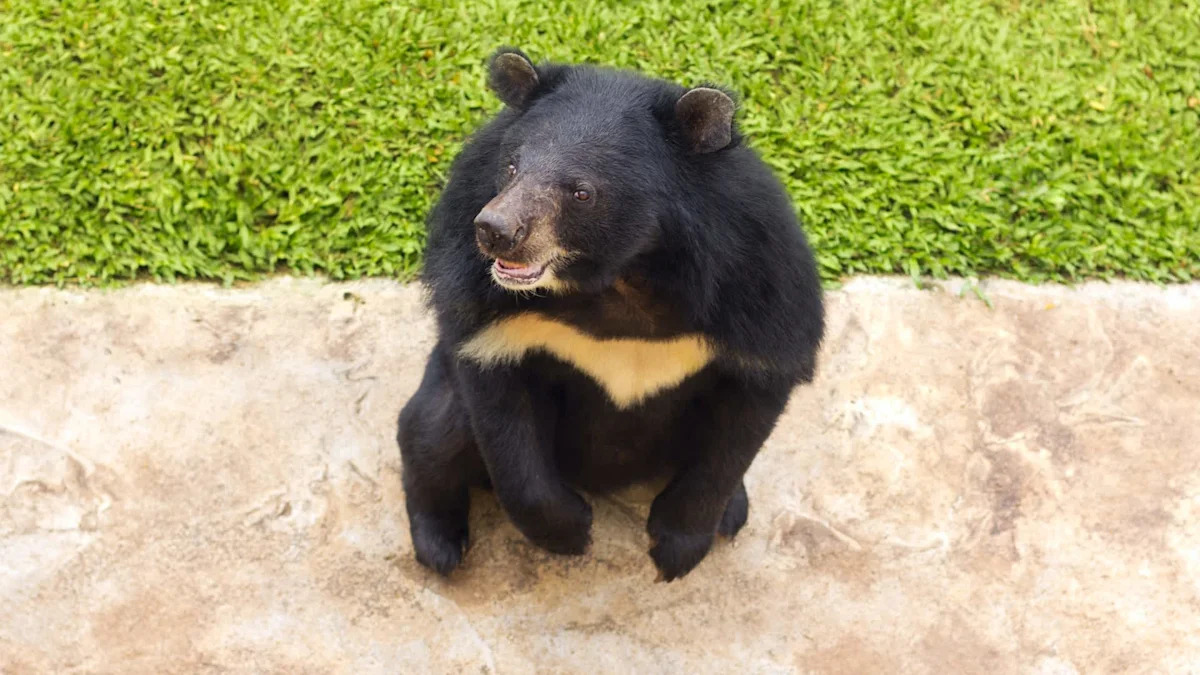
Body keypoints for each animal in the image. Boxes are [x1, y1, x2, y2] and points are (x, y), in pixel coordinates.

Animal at [397, 47, 824, 581]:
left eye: (581, 192)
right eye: (511, 168)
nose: (495, 231)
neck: (622, 276)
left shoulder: (759, 294)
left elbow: (737, 432)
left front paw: (677, 548)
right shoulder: (483, 306)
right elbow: (503, 426)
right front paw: (572, 531)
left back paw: (733, 511)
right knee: (431, 433)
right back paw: (440, 546)